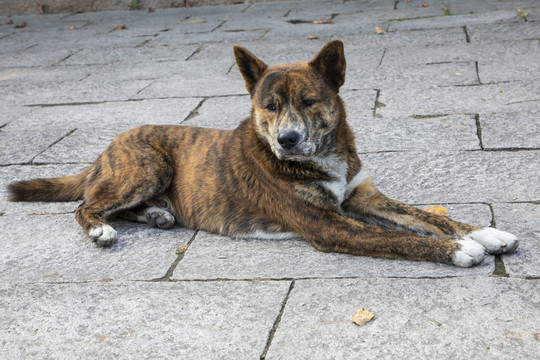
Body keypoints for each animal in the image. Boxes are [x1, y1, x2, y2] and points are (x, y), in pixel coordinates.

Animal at [6, 41, 516, 268]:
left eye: (309, 101)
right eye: (269, 106)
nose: (287, 139)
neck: (322, 155)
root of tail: (105, 150)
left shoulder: (363, 198)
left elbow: (424, 215)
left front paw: (486, 232)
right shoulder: (328, 225)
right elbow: (397, 237)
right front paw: (459, 249)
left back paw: (155, 215)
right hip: (148, 165)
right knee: (85, 206)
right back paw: (102, 230)